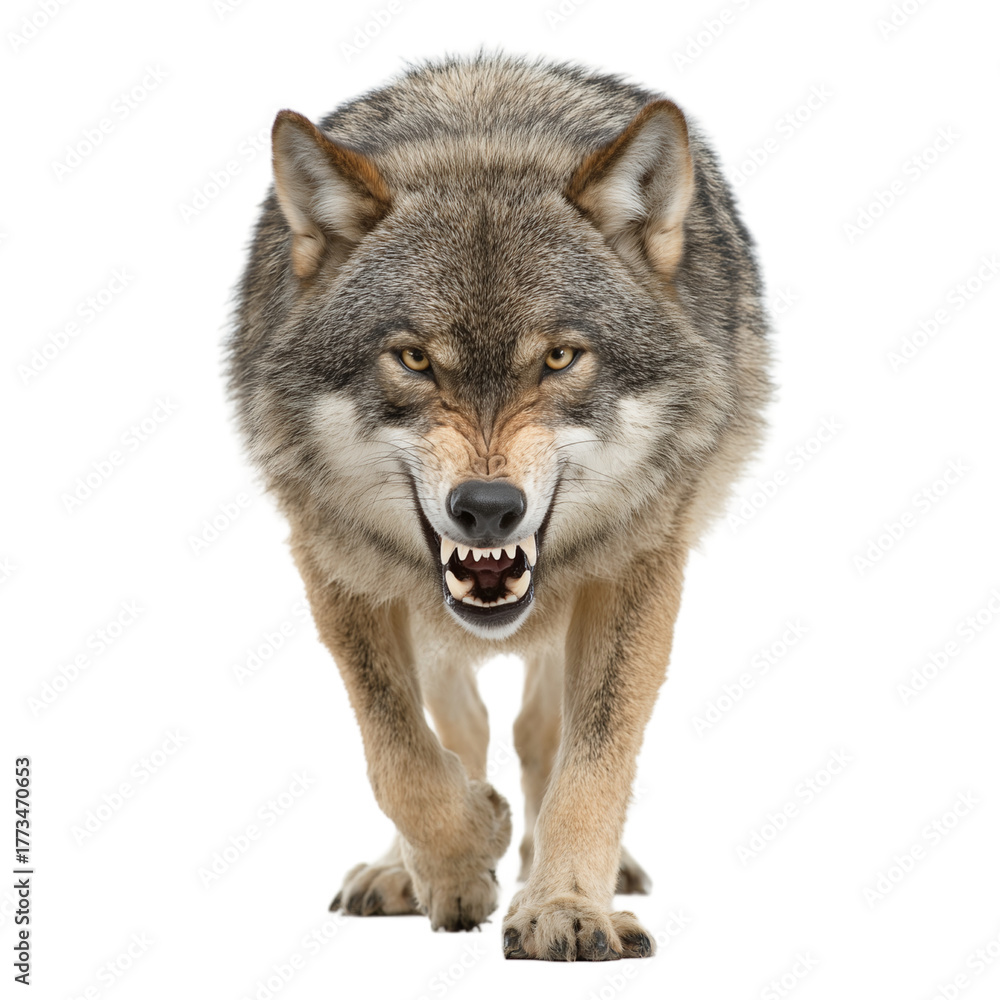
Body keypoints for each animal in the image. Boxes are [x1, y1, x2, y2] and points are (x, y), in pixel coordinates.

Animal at [227, 53, 771, 961]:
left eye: (559, 358)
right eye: (414, 359)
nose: (486, 508)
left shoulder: (641, 567)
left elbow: (595, 755)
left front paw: (566, 904)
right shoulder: (333, 566)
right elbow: (398, 751)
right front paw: (460, 856)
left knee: (536, 733)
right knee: (467, 724)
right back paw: (409, 867)